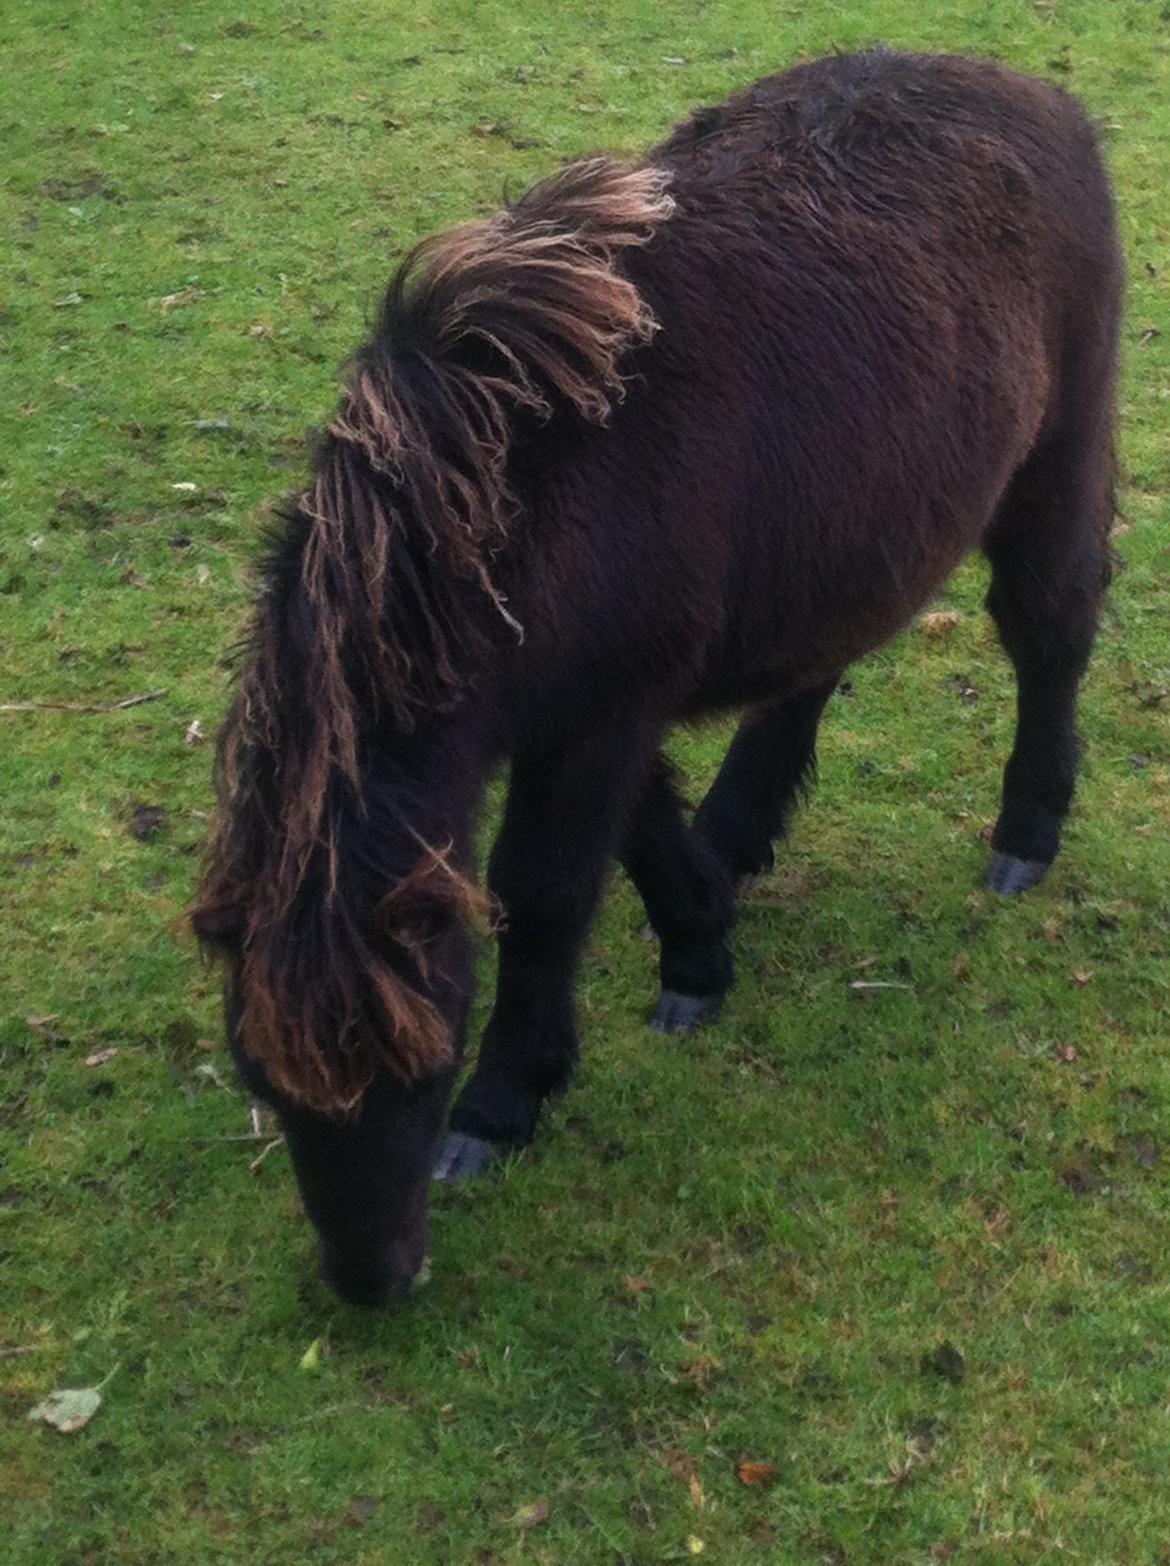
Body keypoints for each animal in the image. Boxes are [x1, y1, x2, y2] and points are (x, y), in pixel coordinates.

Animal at [194, 52, 1127, 1309]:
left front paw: (507, 1100)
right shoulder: (593, 707)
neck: (521, 510)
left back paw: (1025, 835)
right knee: (812, 673)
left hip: (1052, 464)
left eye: (426, 1063)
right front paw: (700, 942)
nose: (372, 1281)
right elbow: (636, 834)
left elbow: (545, 892)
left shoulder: (595, 717)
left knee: (1051, 635)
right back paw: (744, 827)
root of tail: (1040, 96)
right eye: (262, 1076)